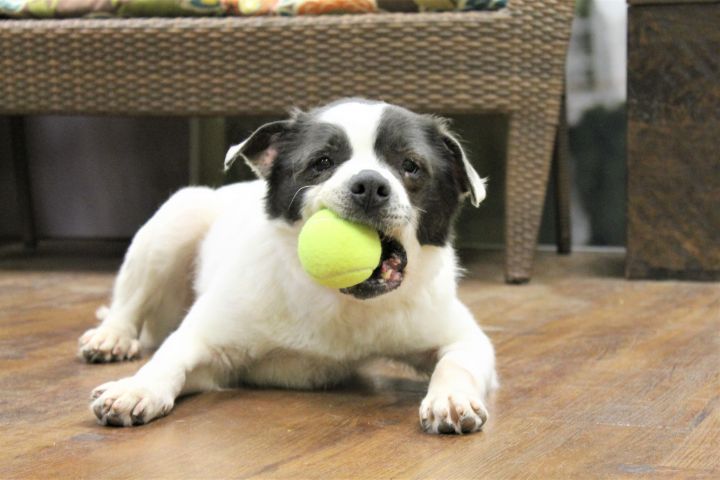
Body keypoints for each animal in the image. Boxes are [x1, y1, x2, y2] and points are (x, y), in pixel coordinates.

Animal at [77, 98, 496, 436]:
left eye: (410, 166)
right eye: (322, 163)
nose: (370, 185)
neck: (337, 300)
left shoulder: (466, 339)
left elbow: (456, 363)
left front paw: (451, 398)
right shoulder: (211, 346)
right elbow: (171, 356)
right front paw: (137, 388)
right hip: (178, 217)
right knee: (128, 305)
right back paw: (111, 337)